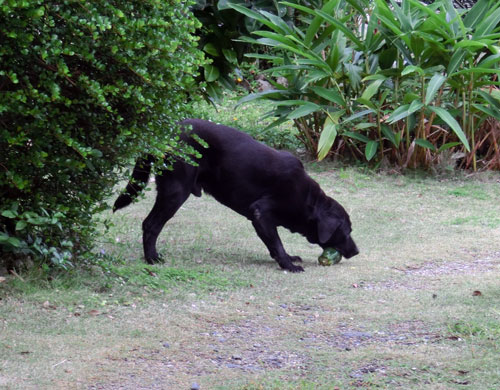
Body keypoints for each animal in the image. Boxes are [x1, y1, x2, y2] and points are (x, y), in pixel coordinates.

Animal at [115, 119, 358, 272]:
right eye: (347, 231)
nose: (356, 251)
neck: (308, 200)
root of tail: (168, 131)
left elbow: (274, 244)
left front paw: (288, 259)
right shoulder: (260, 213)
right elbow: (277, 243)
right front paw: (288, 265)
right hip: (175, 192)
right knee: (150, 224)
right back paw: (152, 258)